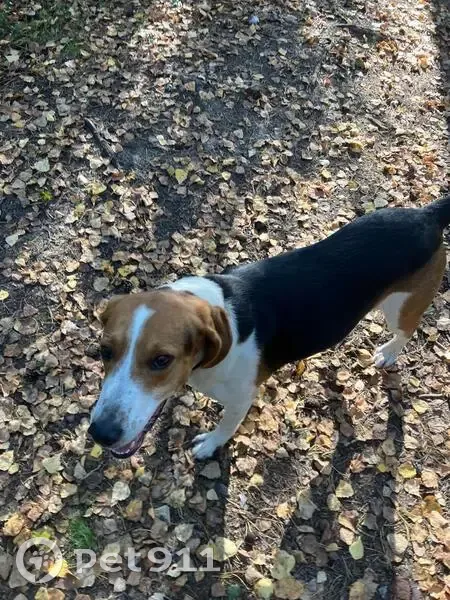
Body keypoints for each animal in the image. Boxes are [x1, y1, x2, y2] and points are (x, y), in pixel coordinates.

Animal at [88, 196, 449, 460]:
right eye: (105, 351)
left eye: (162, 360)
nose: (100, 433)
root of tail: (426, 215)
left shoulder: (240, 401)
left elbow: (225, 427)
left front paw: (210, 445)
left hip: (401, 308)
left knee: (407, 330)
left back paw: (389, 353)